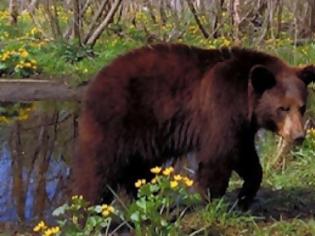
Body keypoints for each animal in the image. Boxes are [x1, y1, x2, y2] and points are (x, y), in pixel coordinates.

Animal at [73, 43, 315, 208]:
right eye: (283, 108)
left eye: (302, 107)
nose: (298, 136)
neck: (245, 99)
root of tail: (93, 84)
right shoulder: (221, 106)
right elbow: (218, 154)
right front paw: (213, 200)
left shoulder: (242, 126)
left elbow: (246, 157)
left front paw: (244, 197)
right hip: (115, 123)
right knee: (97, 170)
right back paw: (87, 211)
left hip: (142, 139)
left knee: (140, 172)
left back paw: (147, 199)